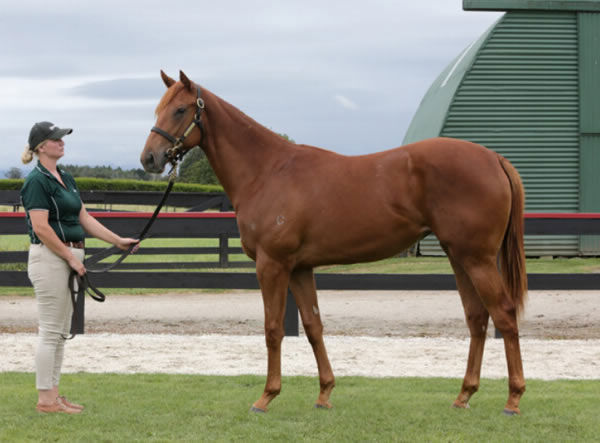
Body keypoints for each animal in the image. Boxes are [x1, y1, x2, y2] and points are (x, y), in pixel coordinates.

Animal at [139, 70, 524, 416]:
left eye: (180, 110)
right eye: (157, 109)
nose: (149, 158)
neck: (267, 171)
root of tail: (493, 158)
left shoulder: (272, 265)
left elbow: (273, 329)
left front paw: (266, 397)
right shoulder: (300, 269)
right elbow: (313, 327)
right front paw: (324, 393)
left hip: (477, 259)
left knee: (504, 314)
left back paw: (513, 399)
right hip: (459, 256)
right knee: (477, 318)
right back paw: (464, 395)